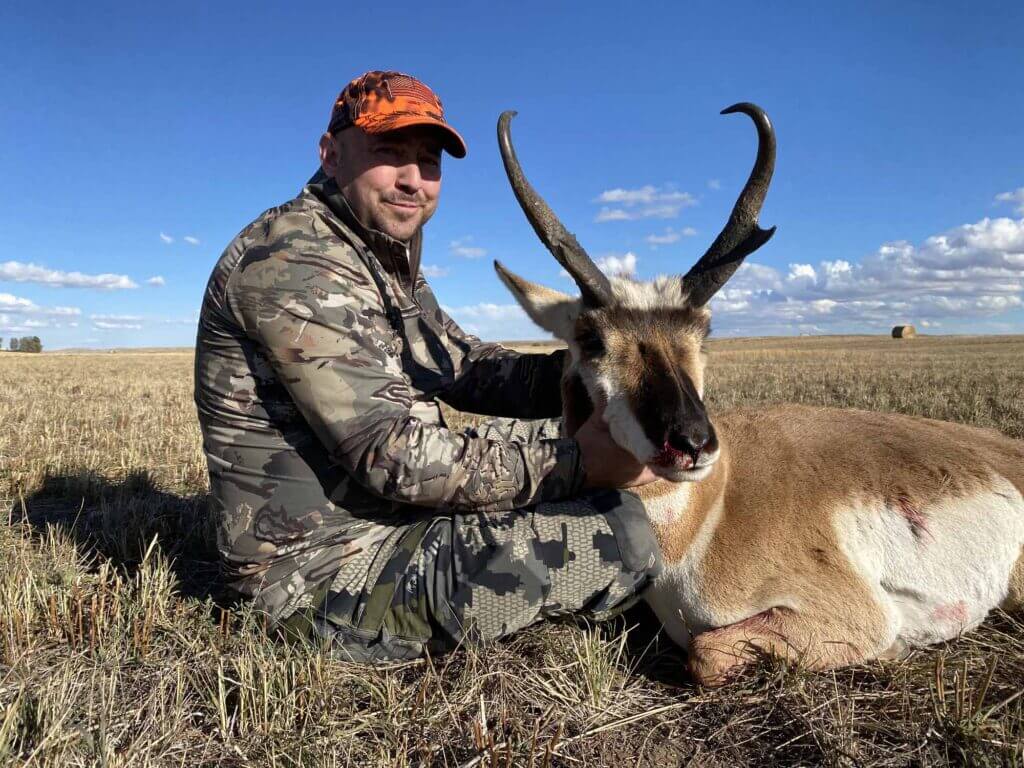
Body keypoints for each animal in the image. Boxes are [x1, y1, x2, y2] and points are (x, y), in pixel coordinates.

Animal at [493, 105, 1024, 686]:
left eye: (704, 331)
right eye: (591, 340)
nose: (694, 443)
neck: (711, 509)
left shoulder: (853, 614)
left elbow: (706, 653)